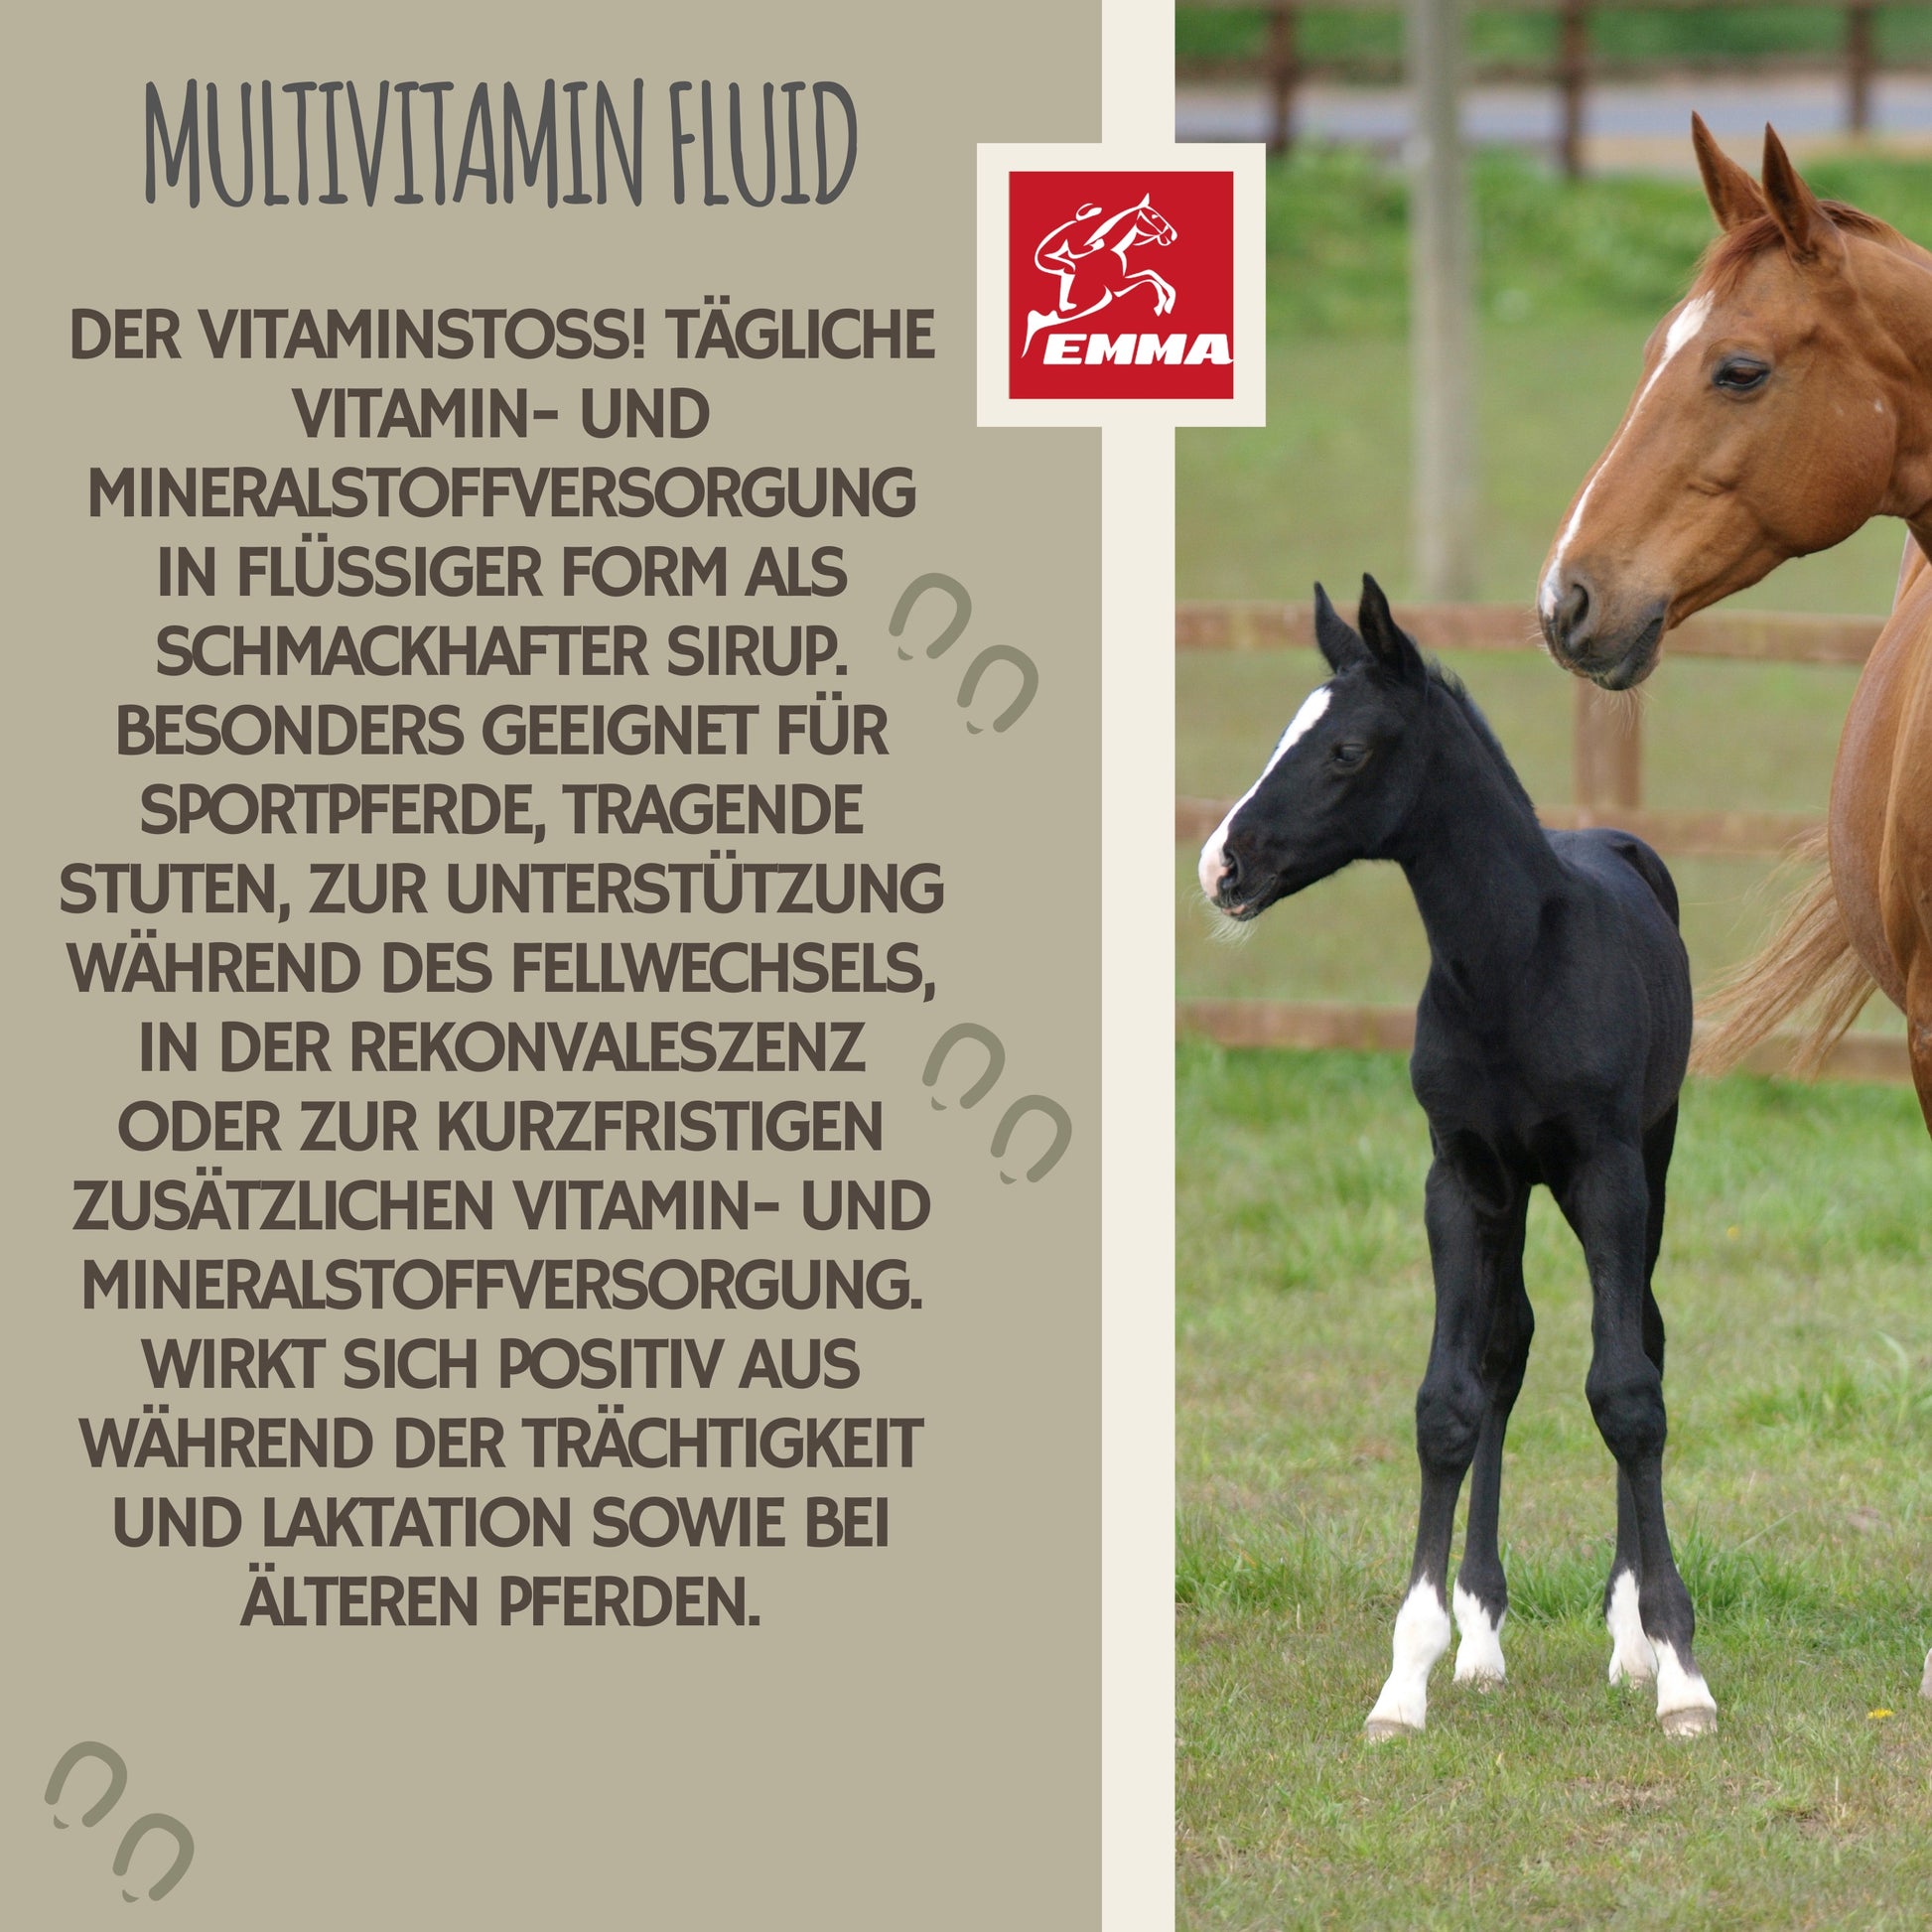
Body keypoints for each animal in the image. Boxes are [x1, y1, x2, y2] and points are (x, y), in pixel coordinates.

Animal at [1022, 196, 1178, 354]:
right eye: (1154, 216)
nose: (1173, 235)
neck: (1112, 248)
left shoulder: (1120, 282)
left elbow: (1151, 274)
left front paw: (1167, 303)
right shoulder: (1118, 285)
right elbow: (1149, 277)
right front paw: (1162, 304)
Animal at [1200, 577, 1712, 1738]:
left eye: (1344, 749)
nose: (1221, 864)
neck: (1513, 962)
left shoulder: (1606, 1172)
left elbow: (1626, 1392)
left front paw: (1678, 1669)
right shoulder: (1460, 1177)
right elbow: (1451, 1398)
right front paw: (1408, 1674)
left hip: (1648, 1161)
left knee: (1644, 1337)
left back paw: (1628, 1636)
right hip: (1515, 1193)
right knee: (1508, 1350)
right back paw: (1482, 1637)